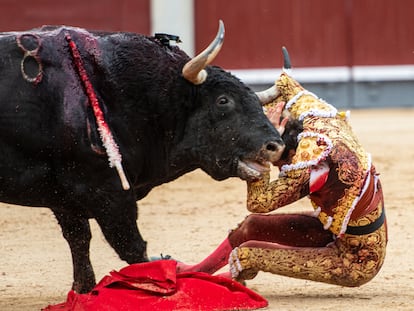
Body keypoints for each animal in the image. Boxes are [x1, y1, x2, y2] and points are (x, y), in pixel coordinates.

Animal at [0, 23, 284, 294]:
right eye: (223, 101)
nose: (275, 146)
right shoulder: (105, 189)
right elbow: (131, 246)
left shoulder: (65, 195)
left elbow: (78, 239)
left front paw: (82, 290)